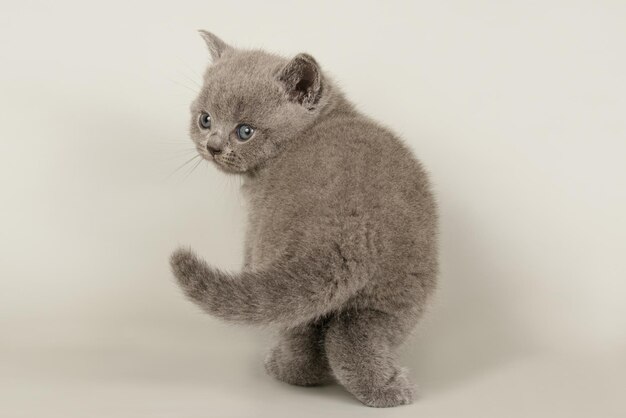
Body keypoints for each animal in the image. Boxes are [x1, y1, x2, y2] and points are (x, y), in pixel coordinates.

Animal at [168, 30, 436, 408]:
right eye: (205, 119)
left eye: (245, 131)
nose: (213, 147)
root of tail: (348, 233)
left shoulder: (255, 221)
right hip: (400, 286)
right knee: (352, 337)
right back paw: (389, 392)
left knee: (303, 333)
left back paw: (282, 370)